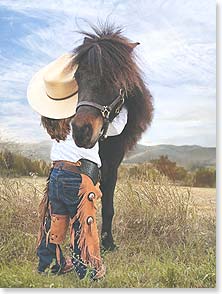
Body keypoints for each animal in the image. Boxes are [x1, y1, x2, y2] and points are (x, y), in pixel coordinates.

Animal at [70, 24, 153, 252]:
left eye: (114, 78)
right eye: (77, 77)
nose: (81, 131)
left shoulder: (113, 163)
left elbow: (108, 203)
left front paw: (108, 241)